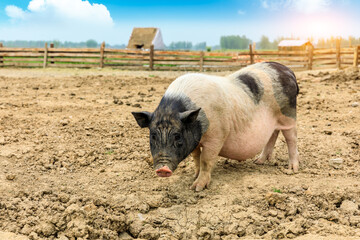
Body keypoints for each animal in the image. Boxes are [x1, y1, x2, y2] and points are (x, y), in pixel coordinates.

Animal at [131, 61, 298, 191]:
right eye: (153, 135)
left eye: (177, 135)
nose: (162, 169)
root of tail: (288, 70)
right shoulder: (195, 140)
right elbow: (196, 158)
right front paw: (194, 176)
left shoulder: (217, 136)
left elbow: (206, 159)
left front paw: (197, 188)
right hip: (274, 122)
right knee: (273, 134)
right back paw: (259, 161)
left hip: (289, 115)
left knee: (291, 138)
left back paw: (292, 170)